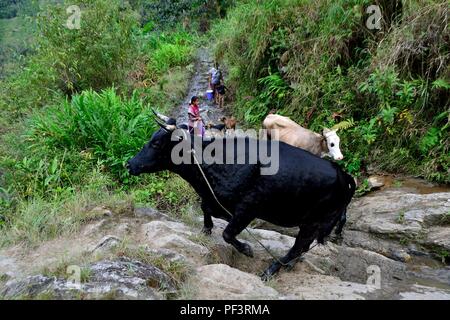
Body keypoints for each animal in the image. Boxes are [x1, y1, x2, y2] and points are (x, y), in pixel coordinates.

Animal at [126, 117, 356, 278]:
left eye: (156, 143)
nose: (129, 164)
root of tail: (342, 174)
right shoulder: (218, 200)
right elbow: (206, 209)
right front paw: (206, 228)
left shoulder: (247, 209)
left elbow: (228, 233)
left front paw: (246, 249)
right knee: (302, 247)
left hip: (314, 221)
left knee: (299, 246)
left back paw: (272, 269)